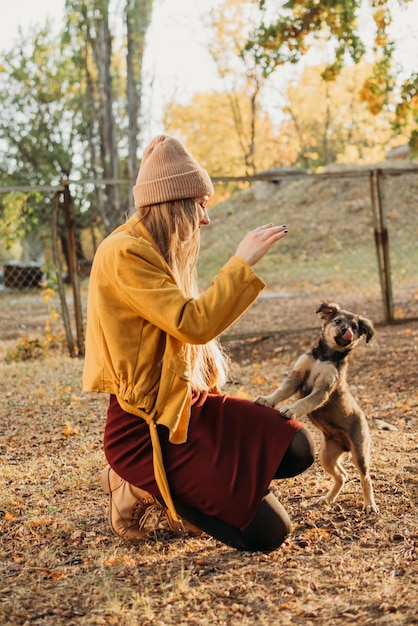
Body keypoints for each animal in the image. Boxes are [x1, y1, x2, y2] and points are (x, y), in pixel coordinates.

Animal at [255, 302, 378, 512]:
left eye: (354, 327)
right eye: (337, 321)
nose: (345, 331)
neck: (326, 357)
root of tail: (345, 445)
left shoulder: (322, 390)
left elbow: (304, 402)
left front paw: (291, 410)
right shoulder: (296, 378)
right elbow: (280, 391)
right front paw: (267, 400)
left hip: (359, 453)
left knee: (365, 478)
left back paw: (369, 504)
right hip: (326, 455)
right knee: (342, 475)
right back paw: (328, 498)